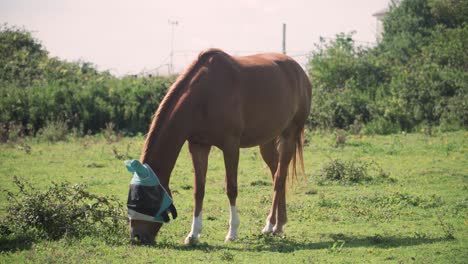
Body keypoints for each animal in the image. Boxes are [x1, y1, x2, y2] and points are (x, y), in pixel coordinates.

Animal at [129, 48, 310, 244]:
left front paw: (232, 232)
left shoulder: (231, 146)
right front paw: (193, 234)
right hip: (267, 141)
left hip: (289, 135)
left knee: (279, 177)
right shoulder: (198, 146)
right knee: (276, 173)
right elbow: (199, 190)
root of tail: (299, 71)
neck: (204, 95)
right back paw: (279, 224)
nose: (137, 236)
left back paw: (270, 225)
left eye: (141, 200)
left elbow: (231, 188)